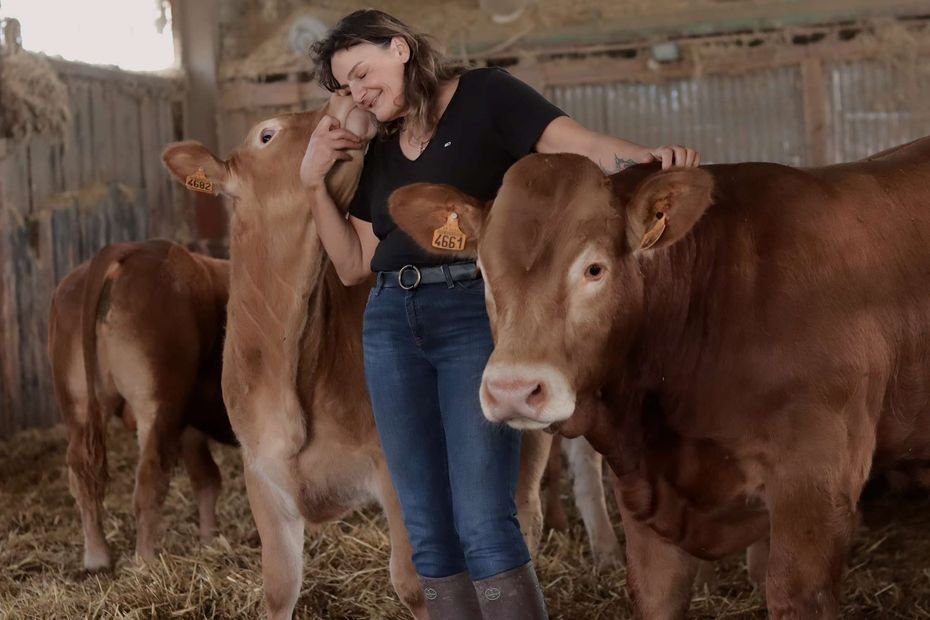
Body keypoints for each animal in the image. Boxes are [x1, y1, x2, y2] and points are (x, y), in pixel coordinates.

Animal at [48, 239, 232, 570]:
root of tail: (130, 250)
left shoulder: (191, 425)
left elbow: (206, 478)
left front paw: (209, 542)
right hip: (159, 403)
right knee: (150, 478)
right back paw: (145, 561)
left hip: (79, 402)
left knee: (82, 472)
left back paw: (98, 558)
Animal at [387, 137, 930, 619]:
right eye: (480, 270)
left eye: (594, 269)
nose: (513, 390)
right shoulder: (646, 504)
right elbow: (656, 595)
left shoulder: (815, 486)